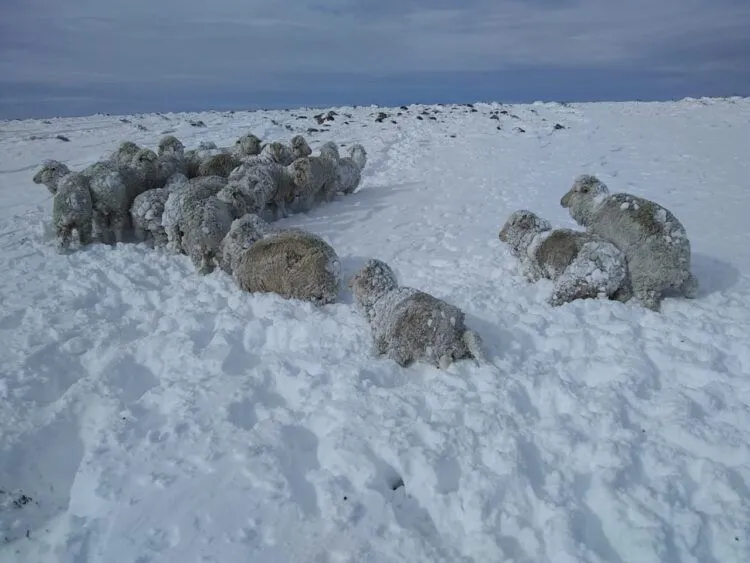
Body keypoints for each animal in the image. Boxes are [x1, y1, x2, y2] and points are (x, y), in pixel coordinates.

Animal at [498, 209, 631, 306]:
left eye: (512, 223)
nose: (499, 235)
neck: (531, 237)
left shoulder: (534, 271)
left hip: (573, 278)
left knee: (558, 298)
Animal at [560, 174, 698, 311]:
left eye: (575, 190)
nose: (562, 201)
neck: (596, 206)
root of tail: (678, 269)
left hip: (644, 279)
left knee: (649, 301)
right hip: (679, 278)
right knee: (692, 286)